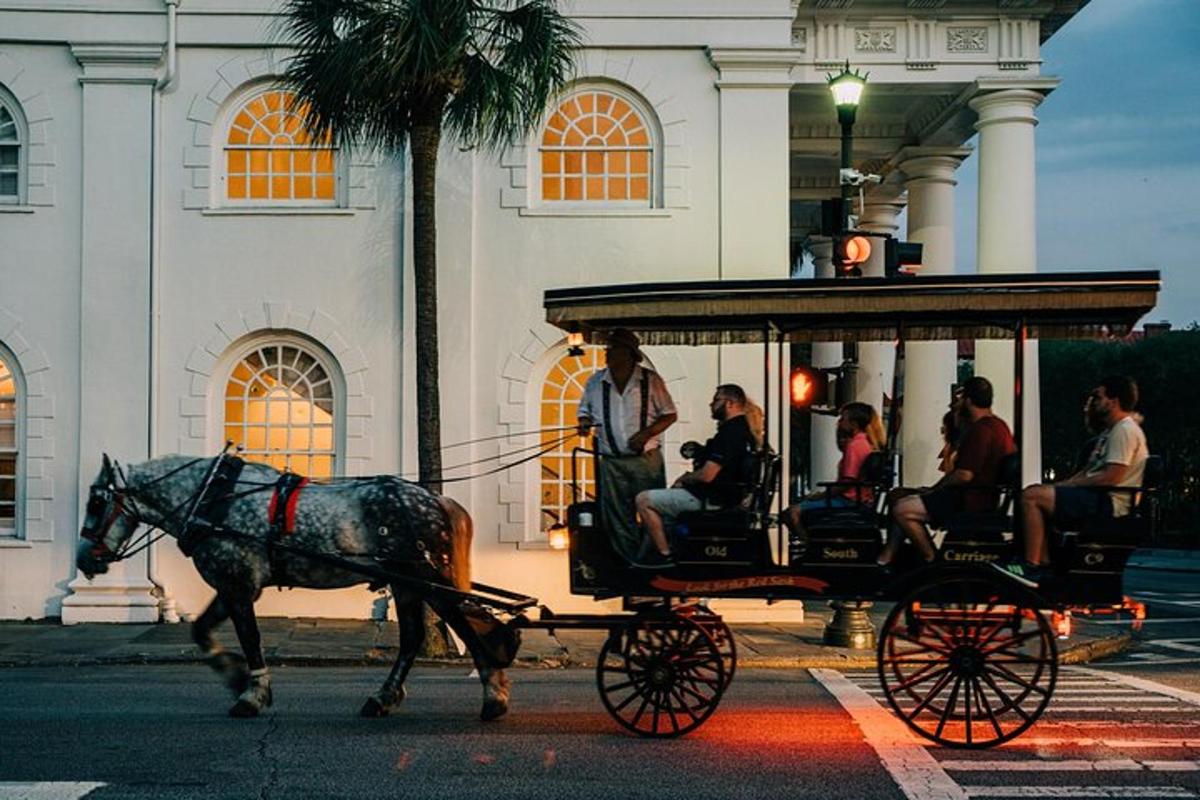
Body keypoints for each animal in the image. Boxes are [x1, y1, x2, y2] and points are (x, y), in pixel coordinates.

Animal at [75, 453, 516, 724]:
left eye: (95, 503)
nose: (84, 560)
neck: (213, 498)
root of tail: (436, 499)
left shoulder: (238, 582)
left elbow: (250, 638)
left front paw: (252, 693)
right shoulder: (232, 582)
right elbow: (200, 630)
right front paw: (235, 677)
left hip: (430, 578)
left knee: (471, 627)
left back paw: (493, 695)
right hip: (407, 583)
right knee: (412, 639)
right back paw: (383, 697)